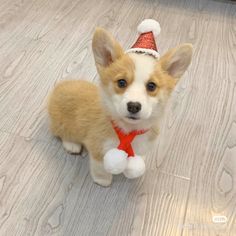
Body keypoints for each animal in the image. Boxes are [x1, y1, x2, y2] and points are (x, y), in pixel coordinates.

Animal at [47, 19, 193, 186]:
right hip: (63, 124)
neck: (128, 130)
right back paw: (72, 145)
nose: (134, 106)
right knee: (61, 133)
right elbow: (101, 169)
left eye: (151, 86)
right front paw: (103, 181)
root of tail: (59, 86)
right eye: (121, 82)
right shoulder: (98, 150)